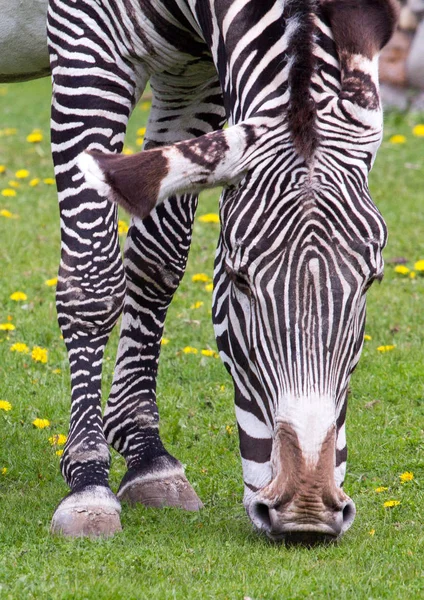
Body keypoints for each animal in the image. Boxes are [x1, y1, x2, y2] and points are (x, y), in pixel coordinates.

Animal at [0, 0, 398, 540]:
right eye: (237, 278)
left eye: (372, 280)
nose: (307, 514)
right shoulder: (88, 43)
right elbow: (93, 279)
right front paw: (88, 482)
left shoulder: (193, 70)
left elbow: (157, 259)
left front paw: (148, 457)